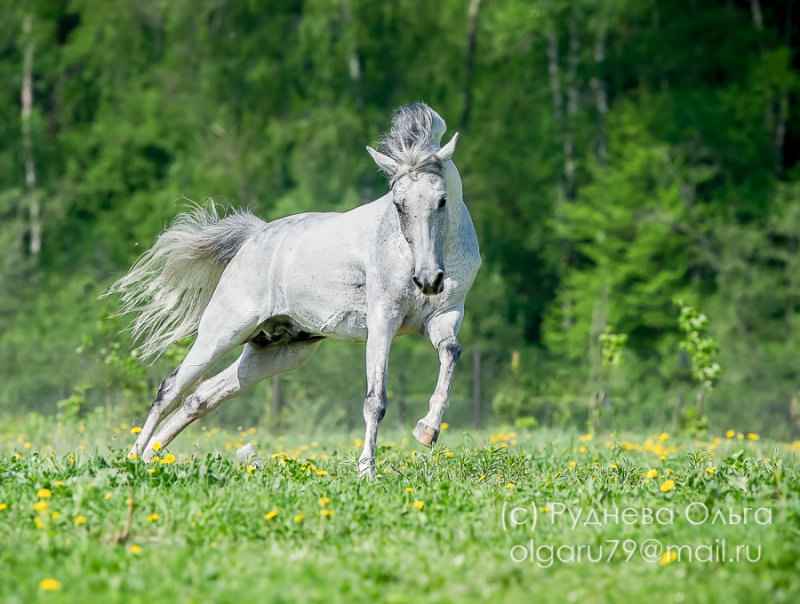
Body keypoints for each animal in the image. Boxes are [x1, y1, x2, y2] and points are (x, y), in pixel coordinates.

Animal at [106, 101, 482, 474]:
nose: (428, 280)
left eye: (442, 200)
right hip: (223, 331)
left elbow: (452, 351)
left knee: (201, 397)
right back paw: (132, 459)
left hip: (277, 351)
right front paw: (366, 470)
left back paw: (153, 455)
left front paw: (427, 429)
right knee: (170, 389)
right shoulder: (383, 322)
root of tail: (253, 236)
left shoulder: (444, 316)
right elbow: (375, 400)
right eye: (398, 204)